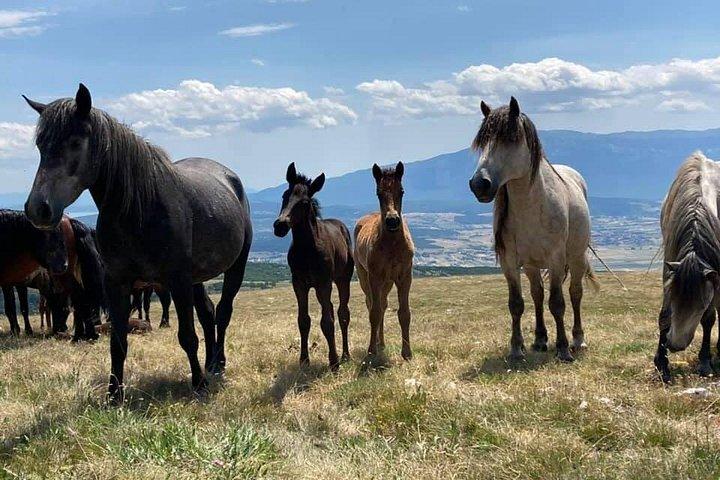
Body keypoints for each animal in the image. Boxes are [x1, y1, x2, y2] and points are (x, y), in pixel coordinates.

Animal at [23, 84, 253, 402]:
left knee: (222, 312)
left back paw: (217, 365)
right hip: (195, 278)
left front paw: (198, 386)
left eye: (75, 142)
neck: (139, 211)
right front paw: (113, 395)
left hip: (234, 267)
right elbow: (117, 342)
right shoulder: (118, 282)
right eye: (40, 146)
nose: (38, 209)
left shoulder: (177, 280)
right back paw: (210, 364)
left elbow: (187, 336)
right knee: (207, 313)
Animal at [273, 163, 354, 369]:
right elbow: (304, 320)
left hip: (342, 279)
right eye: (284, 195)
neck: (307, 250)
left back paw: (345, 355)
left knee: (342, 313)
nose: (280, 226)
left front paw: (334, 362)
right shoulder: (299, 284)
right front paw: (304, 360)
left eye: (304, 202)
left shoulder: (324, 282)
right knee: (331, 309)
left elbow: (327, 322)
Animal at [354, 162, 415, 361]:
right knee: (373, 305)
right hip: (365, 277)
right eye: (378, 193)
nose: (392, 221)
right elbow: (374, 313)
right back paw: (376, 344)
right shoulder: (374, 277)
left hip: (387, 282)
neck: (392, 245)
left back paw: (382, 343)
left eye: (401, 191)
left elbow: (404, 313)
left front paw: (407, 353)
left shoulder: (405, 277)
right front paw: (371, 351)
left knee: (383, 304)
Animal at [468, 97, 598, 362]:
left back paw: (578, 340)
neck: (532, 206)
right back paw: (540, 340)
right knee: (537, 294)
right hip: (531, 265)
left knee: (575, 293)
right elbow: (517, 303)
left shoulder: (557, 260)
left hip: (577, 258)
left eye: (510, 138)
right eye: (482, 142)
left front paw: (563, 349)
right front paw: (516, 349)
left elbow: (557, 302)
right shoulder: (510, 263)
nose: (479, 184)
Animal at [654, 152, 720, 382]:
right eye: (674, 299)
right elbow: (664, 315)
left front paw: (705, 362)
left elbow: (709, 319)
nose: (675, 345)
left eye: (700, 306)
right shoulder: (670, 264)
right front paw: (662, 364)